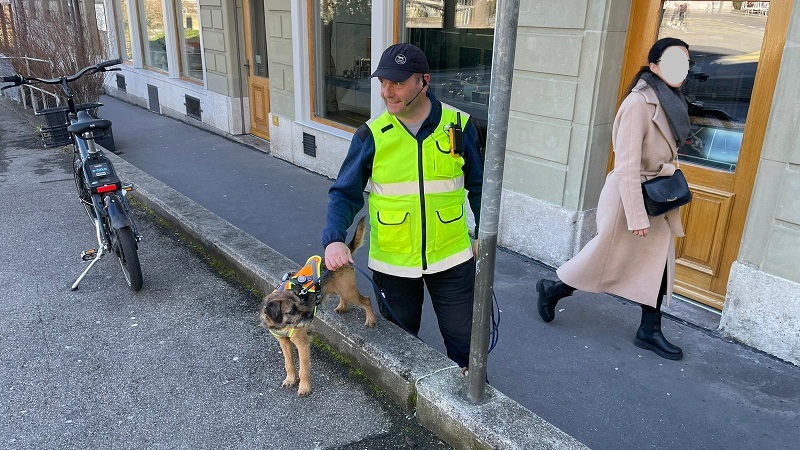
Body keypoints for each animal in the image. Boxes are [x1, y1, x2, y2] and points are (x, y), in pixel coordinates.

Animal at [260, 216, 376, 396]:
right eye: (292, 310)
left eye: (301, 303)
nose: (309, 316)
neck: (282, 324)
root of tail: (345, 252)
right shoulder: (284, 343)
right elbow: (289, 364)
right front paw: (290, 379)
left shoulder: (302, 343)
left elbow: (304, 368)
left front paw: (304, 387)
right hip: (338, 288)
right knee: (344, 298)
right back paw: (342, 306)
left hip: (349, 291)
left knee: (367, 300)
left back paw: (370, 319)